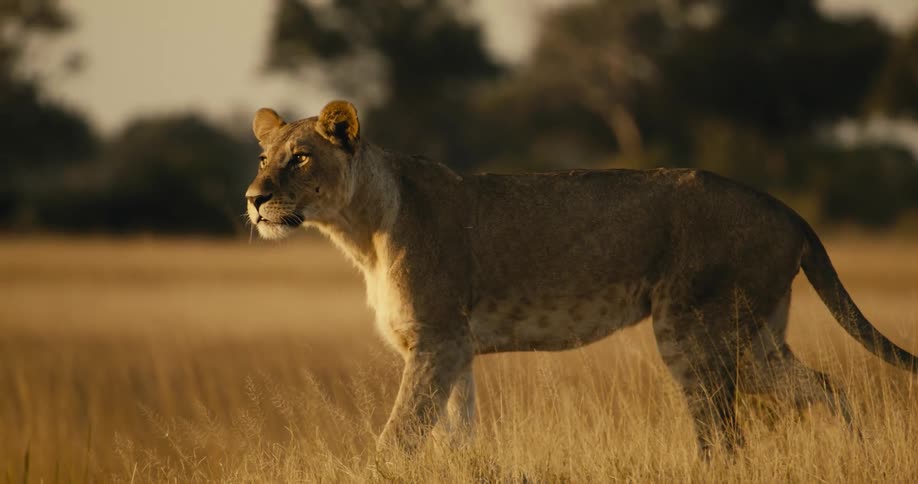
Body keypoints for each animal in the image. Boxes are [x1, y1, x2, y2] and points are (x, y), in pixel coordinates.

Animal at [245, 100, 917, 456]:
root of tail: (790, 210)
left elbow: (398, 435)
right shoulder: (453, 349)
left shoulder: (436, 342)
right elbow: (458, 434)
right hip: (754, 337)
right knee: (824, 385)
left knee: (723, 435)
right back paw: (856, 450)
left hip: (692, 328)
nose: (253, 199)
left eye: (300, 157)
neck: (360, 231)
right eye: (263, 156)